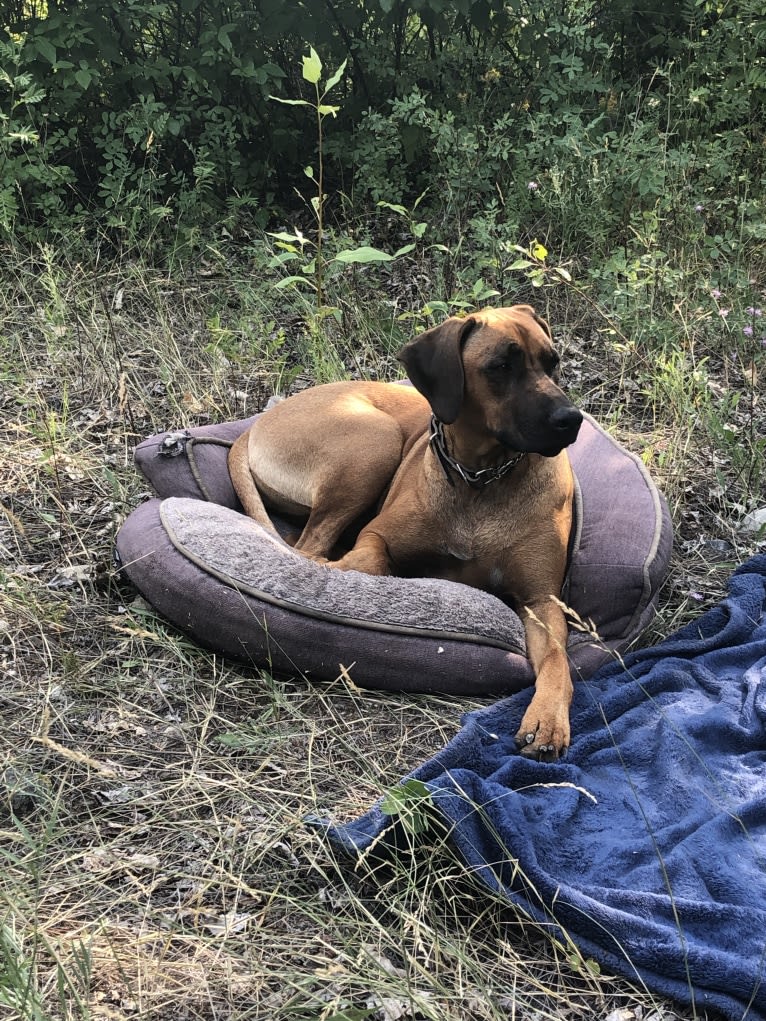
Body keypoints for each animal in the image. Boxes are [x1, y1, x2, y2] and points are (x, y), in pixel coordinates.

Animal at [227, 302, 580, 759]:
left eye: (552, 362)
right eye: (501, 366)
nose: (570, 419)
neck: (481, 478)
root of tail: (256, 424)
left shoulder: (541, 601)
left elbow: (556, 658)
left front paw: (548, 718)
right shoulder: (377, 537)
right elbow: (367, 560)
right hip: (375, 440)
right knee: (309, 547)